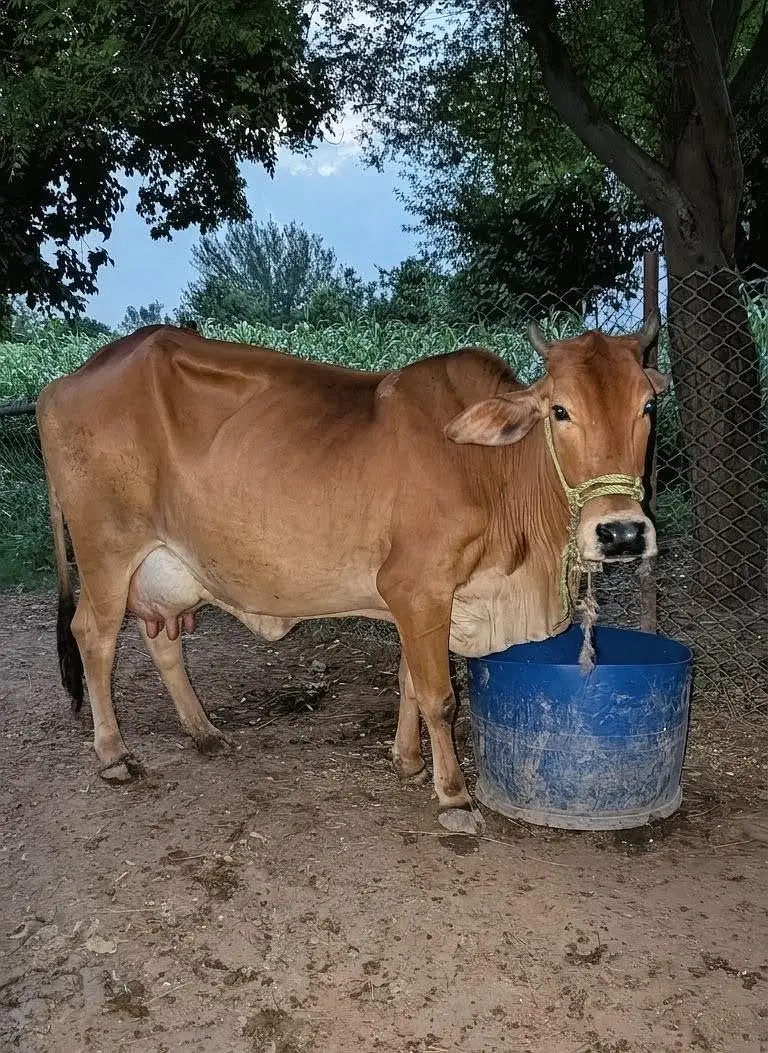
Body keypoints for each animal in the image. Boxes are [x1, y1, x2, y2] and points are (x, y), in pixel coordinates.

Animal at [37, 316, 667, 832]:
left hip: (165, 567)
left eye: (647, 406)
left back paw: (204, 731)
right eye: (560, 410)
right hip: (106, 551)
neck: (491, 472)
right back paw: (114, 754)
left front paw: (407, 760)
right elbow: (439, 695)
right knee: (93, 636)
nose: (622, 533)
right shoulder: (417, 587)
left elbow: (409, 679)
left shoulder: (429, 601)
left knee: (161, 642)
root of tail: (58, 385)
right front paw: (454, 795)